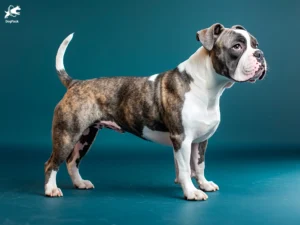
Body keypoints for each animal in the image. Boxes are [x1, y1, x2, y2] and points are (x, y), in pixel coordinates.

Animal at [44, 23, 268, 200]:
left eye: (255, 45)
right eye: (237, 47)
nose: (260, 54)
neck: (209, 86)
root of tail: (75, 83)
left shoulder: (200, 141)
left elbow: (199, 165)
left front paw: (204, 184)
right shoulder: (182, 139)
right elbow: (185, 169)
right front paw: (192, 192)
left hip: (85, 136)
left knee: (72, 161)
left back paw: (80, 183)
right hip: (67, 135)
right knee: (52, 163)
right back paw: (51, 190)